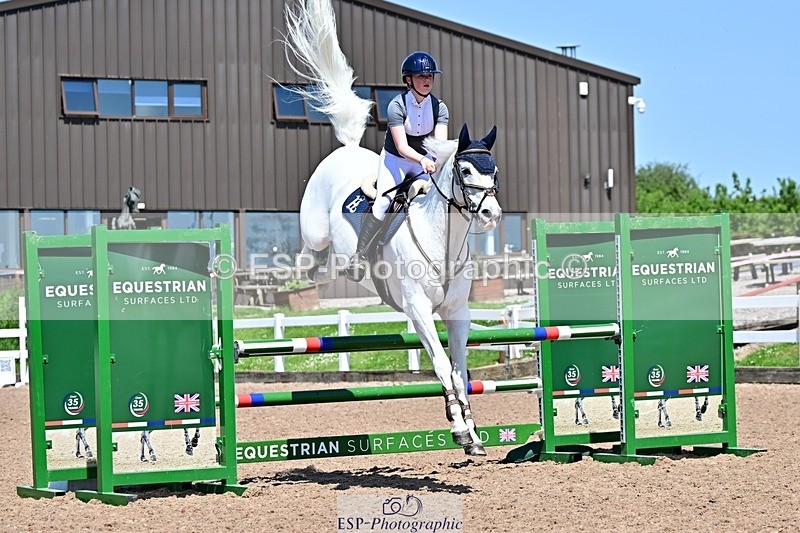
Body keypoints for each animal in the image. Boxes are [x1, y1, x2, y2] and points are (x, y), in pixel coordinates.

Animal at [284, 0, 502, 455]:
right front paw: (458, 428)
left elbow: (459, 371)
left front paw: (472, 436)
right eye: (466, 170)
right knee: (311, 254)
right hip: (316, 230)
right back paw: (307, 274)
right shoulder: (418, 308)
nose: (492, 213)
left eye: (494, 172)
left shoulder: (456, 313)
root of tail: (348, 149)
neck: (442, 242)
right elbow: (442, 366)